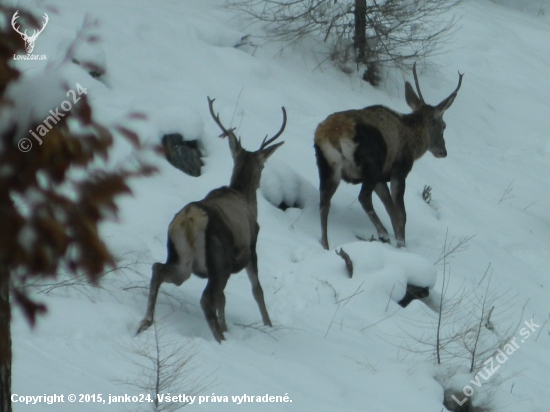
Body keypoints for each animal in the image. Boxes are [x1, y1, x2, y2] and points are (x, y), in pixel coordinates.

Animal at [136, 96, 286, 342]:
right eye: (263, 165)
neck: (244, 197)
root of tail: (189, 220)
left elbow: (224, 299)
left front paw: (226, 326)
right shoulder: (251, 248)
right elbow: (257, 290)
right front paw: (268, 324)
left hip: (182, 259)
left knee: (158, 269)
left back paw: (145, 323)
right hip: (219, 259)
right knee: (207, 298)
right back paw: (220, 341)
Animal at [316, 62, 464, 249]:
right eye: (444, 126)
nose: (443, 152)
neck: (413, 142)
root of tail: (333, 135)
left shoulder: (381, 178)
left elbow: (390, 208)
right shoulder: (399, 170)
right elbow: (401, 213)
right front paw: (401, 244)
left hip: (328, 166)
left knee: (324, 202)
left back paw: (325, 244)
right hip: (371, 165)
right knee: (363, 197)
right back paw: (383, 234)